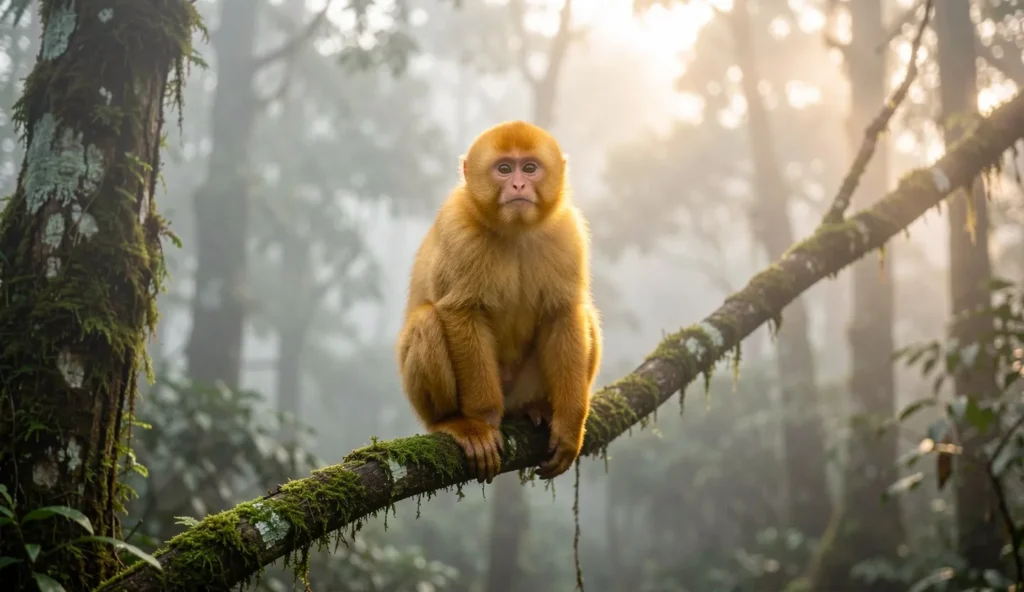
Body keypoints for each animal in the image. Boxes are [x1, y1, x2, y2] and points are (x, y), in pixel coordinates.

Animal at [396, 120, 602, 482]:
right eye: (504, 169)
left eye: (529, 168)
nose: (518, 184)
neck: (516, 231)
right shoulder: (459, 228)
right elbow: (460, 311)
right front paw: (482, 421)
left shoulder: (568, 231)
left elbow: (563, 313)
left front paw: (569, 423)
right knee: (427, 321)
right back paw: (451, 421)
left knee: (584, 315)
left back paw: (535, 407)